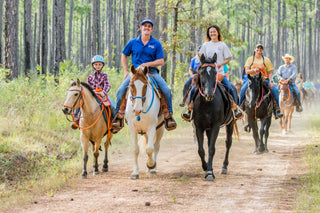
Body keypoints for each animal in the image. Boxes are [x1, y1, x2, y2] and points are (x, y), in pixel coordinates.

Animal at [191, 53, 236, 181]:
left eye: (215, 72)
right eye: (201, 72)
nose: (209, 94)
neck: (207, 104)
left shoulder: (216, 126)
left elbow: (211, 149)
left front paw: (210, 172)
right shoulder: (198, 126)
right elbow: (201, 150)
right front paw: (205, 166)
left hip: (230, 123)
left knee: (228, 143)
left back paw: (224, 167)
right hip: (208, 128)